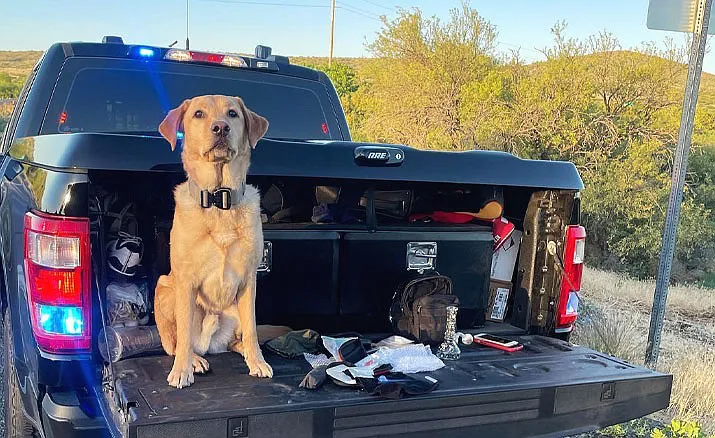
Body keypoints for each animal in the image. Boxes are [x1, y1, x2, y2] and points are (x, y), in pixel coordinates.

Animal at [155, 95, 272, 386]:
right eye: (198, 114)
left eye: (232, 114)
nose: (220, 128)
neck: (220, 199)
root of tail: (211, 344)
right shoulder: (185, 279)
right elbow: (184, 335)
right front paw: (182, 370)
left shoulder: (249, 280)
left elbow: (252, 330)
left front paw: (257, 360)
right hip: (165, 288)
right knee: (176, 342)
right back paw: (194, 359)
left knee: (237, 339)